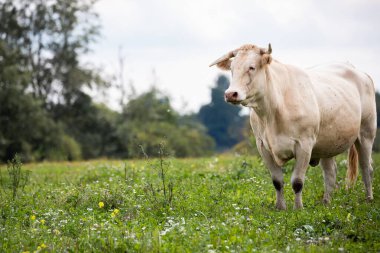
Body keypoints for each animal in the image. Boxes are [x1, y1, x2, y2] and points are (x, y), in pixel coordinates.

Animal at [211, 44, 378, 210]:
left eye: (251, 67)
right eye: (232, 68)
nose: (231, 94)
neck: (272, 112)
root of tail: (356, 70)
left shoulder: (304, 144)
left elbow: (297, 182)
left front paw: (298, 208)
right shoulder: (262, 146)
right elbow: (277, 181)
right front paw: (280, 207)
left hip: (366, 133)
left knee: (366, 168)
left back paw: (369, 199)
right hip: (328, 143)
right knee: (330, 173)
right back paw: (326, 203)